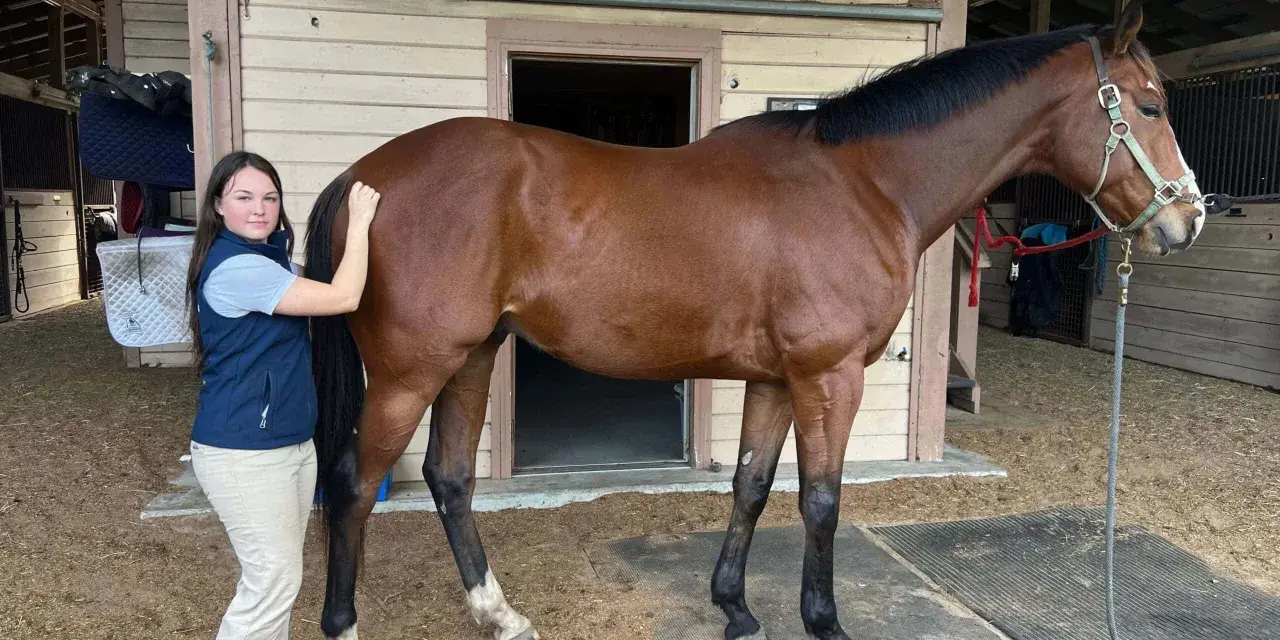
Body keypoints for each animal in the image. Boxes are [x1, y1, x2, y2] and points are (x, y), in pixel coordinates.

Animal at [302, 3, 1203, 639]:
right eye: (1151, 106)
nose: (1187, 218)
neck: (865, 184)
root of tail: (363, 175)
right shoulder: (828, 376)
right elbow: (822, 500)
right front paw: (824, 621)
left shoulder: (776, 379)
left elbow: (751, 486)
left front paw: (735, 607)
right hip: (413, 370)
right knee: (349, 483)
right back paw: (343, 624)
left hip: (473, 355)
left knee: (450, 478)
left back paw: (501, 614)